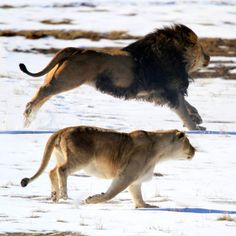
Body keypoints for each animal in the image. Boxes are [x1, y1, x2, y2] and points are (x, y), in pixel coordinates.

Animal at [19, 24, 209, 129]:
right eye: (201, 46)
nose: (209, 57)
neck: (179, 58)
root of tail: (76, 50)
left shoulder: (159, 93)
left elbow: (189, 106)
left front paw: (198, 119)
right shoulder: (170, 90)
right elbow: (183, 111)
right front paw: (195, 128)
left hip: (58, 78)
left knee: (43, 96)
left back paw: (30, 118)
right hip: (65, 80)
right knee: (41, 93)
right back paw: (28, 115)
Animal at [20, 126, 195, 207]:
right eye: (188, 142)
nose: (195, 150)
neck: (159, 152)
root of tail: (61, 130)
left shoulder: (135, 180)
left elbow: (137, 196)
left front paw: (145, 206)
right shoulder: (126, 175)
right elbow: (111, 193)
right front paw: (91, 200)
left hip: (63, 157)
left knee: (51, 171)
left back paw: (54, 196)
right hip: (81, 159)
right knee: (61, 170)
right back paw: (63, 194)